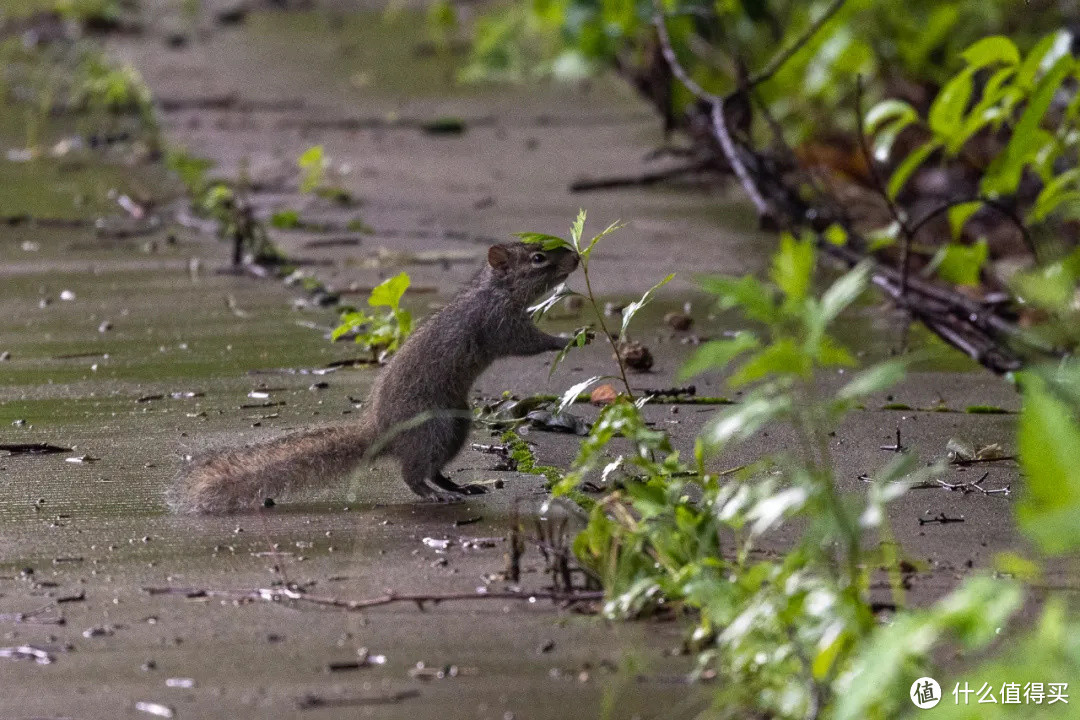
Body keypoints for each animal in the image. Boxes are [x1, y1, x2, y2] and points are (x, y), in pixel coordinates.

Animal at [164, 245, 578, 515]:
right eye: (538, 258)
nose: (575, 258)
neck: (496, 290)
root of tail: (382, 431)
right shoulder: (498, 324)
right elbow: (526, 342)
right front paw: (569, 338)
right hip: (434, 428)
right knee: (413, 473)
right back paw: (436, 495)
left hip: (456, 424)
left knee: (432, 468)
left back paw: (458, 486)